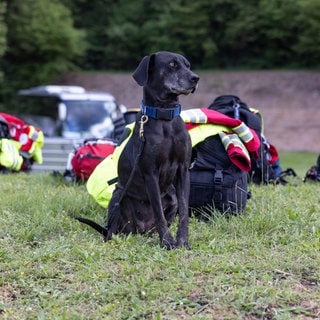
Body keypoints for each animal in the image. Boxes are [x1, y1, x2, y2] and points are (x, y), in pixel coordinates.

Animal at [76, 51, 199, 249]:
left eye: (188, 65)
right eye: (172, 65)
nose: (195, 78)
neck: (165, 118)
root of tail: (141, 229)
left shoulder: (183, 169)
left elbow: (184, 212)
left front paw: (182, 242)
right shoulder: (151, 173)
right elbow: (158, 212)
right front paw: (167, 242)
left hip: (170, 197)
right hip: (118, 196)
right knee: (113, 227)